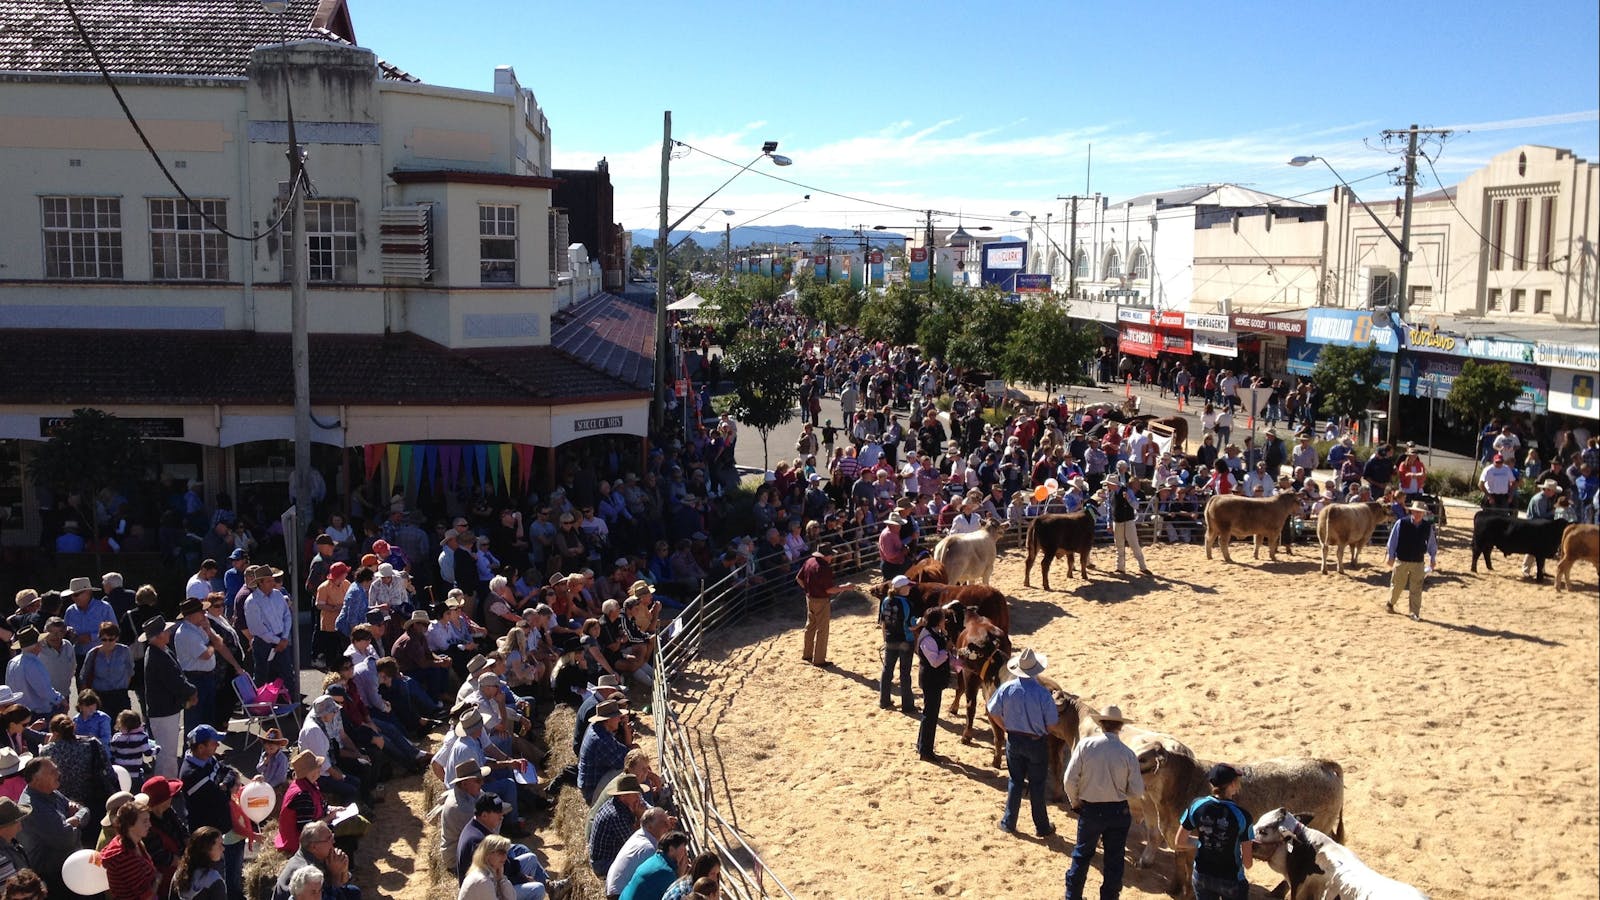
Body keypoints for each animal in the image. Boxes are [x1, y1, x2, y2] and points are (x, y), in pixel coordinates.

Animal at [1139, 743, 1350, 896]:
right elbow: (1178, 863)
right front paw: (1173, 889)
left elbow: (1190, 869)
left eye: (1142, 759)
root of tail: (1323, 763)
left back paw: (1276, 893)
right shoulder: (1176, 835)